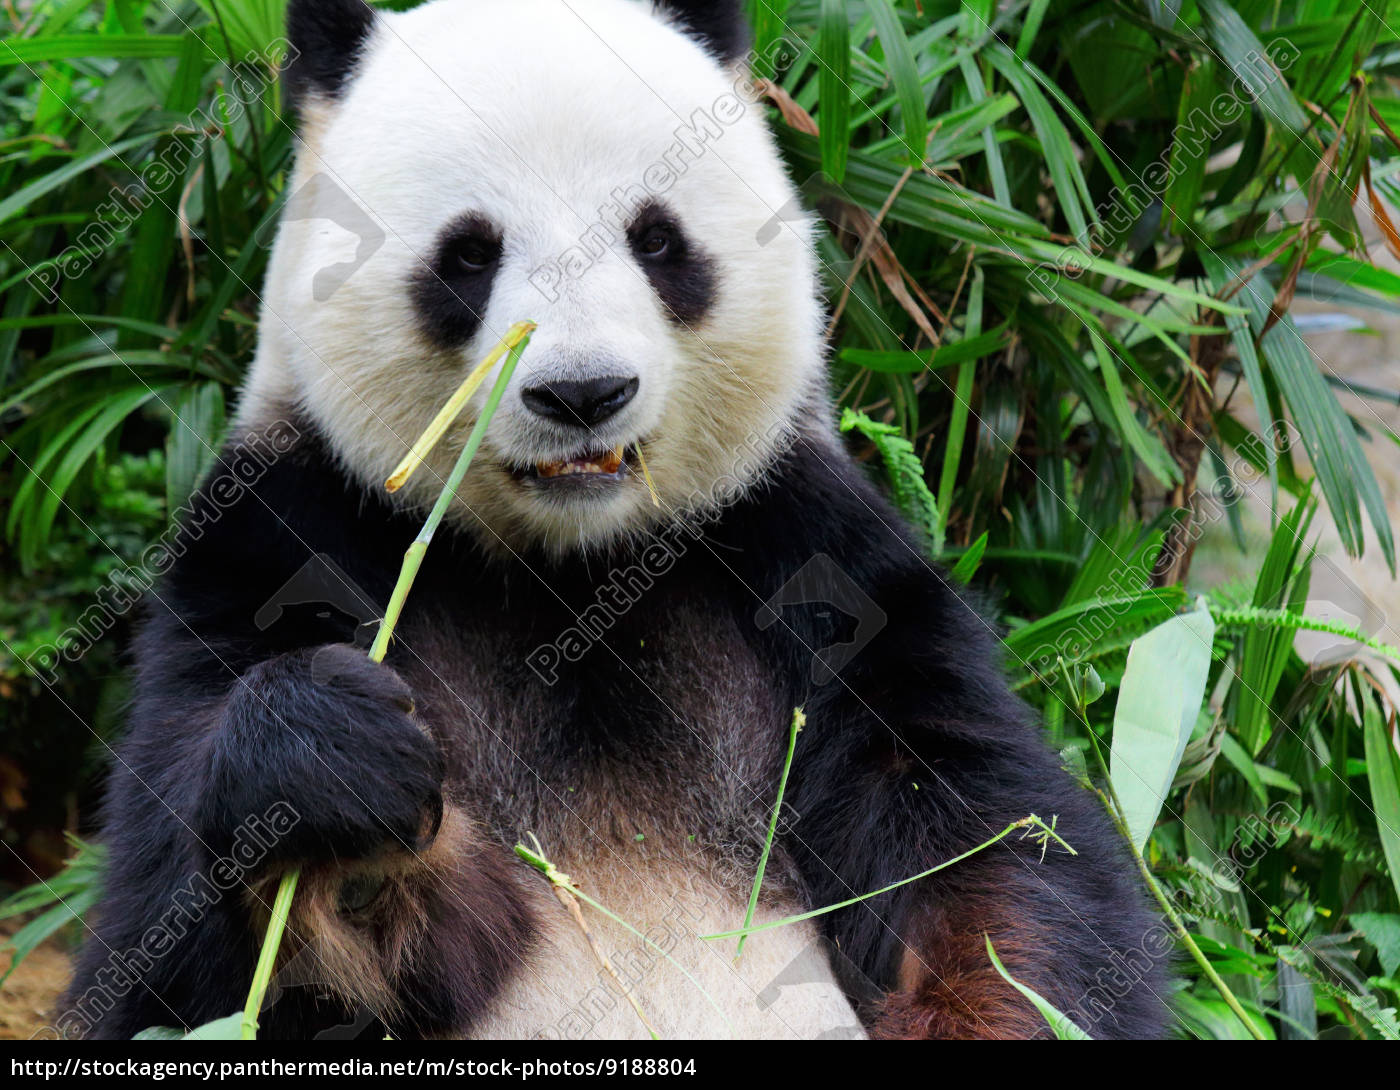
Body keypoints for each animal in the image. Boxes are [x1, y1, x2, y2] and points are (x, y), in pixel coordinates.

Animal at [63, 0, 1170, 1041]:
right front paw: (339, 794)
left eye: (656, 239)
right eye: (469, 255)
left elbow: (982, 845)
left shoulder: (807, 553)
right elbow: (172, 955)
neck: (574, 569)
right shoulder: (283, 533)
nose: (582, 392)